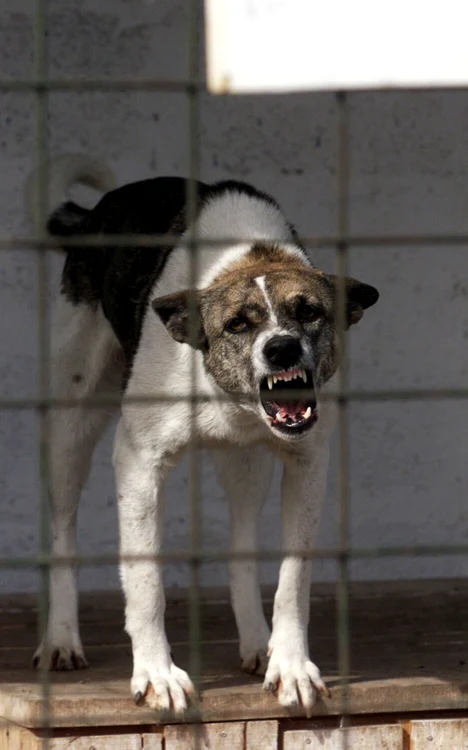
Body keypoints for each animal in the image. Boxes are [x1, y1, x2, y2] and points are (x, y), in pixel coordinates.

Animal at [25, 156, 378, 720]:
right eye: (236, 324)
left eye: (309, 312)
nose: (282, 350)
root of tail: (93, 214)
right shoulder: (138, 463)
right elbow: (146, 583)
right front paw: (156, 675)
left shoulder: (307, 463)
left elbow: (292, 580)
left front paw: (290, 665)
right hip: (69, 427)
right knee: (63, 533)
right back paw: (60, 638)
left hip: (245, 467)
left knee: (242, 543)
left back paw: (257, 642)